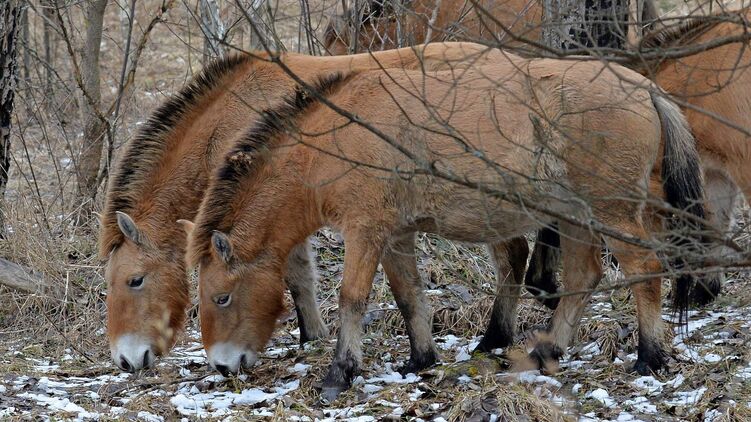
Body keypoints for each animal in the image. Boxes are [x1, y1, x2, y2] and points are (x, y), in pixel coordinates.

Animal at [186, 52, 704, 401]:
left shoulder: (365, 232)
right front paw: (421, 360)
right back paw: (547, 351)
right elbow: (409, 295)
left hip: (611, 211)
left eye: (222, 298)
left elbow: (352, 299)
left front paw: (340, 373)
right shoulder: (395, 235)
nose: (223, 366)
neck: (333, 140)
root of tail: (646, 88)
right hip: (576, 215)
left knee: (645, 269)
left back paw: (650, 357)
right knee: (583, 277)